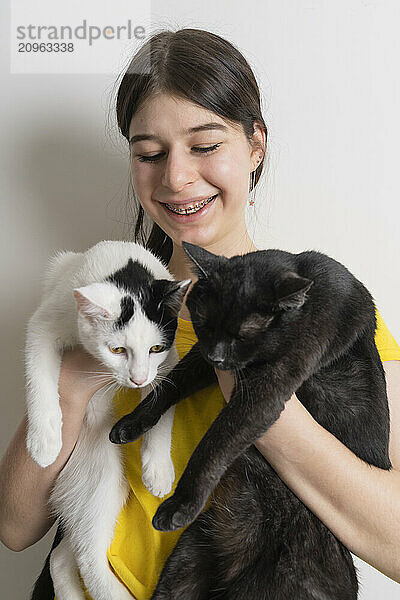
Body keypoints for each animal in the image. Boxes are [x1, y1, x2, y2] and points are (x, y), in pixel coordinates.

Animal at [27, 241, 191, 600]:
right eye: (117, 350)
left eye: (155, 348)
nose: (138, 379)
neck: (124, 266)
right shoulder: (46, 321)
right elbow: (38, 375)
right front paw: (44, 441)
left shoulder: (168, 362)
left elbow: (160, 402)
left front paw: (157, 469)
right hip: (97, 477)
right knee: (86, 556)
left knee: (64, 554)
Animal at [110, 241, 390, 600]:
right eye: (204, 321)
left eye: (242, 336)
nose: (216, 355)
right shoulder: (207, 361)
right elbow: (168, 386)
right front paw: (131, 422)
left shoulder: (265, 389)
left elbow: (215, 443)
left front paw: (180, 504)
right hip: (188, 559)